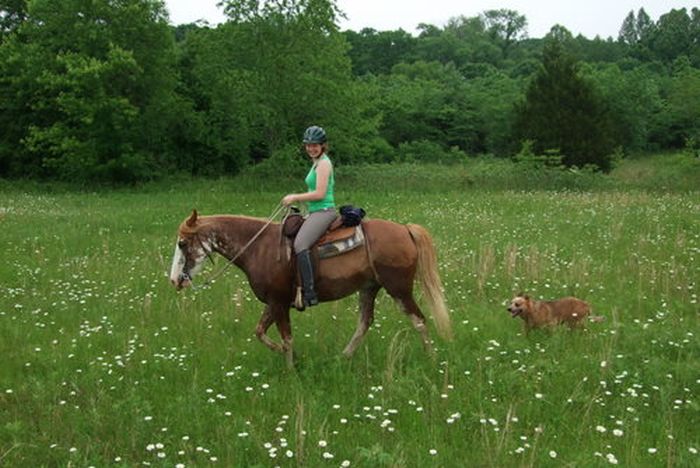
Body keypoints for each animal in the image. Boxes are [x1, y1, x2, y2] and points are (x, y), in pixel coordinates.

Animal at [171, 210, 454, 368]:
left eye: (183, 243)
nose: (174, 280)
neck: (259, 247)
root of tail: (405, 229)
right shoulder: (274, 302)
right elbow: (260, 332)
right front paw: (288, 357)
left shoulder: (279, 302)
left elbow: (286, 337)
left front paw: (290, 368)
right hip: (369, 288)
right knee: (364, 322)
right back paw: (344, 357)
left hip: (399, 289)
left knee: (419, 320)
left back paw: (431, 359)